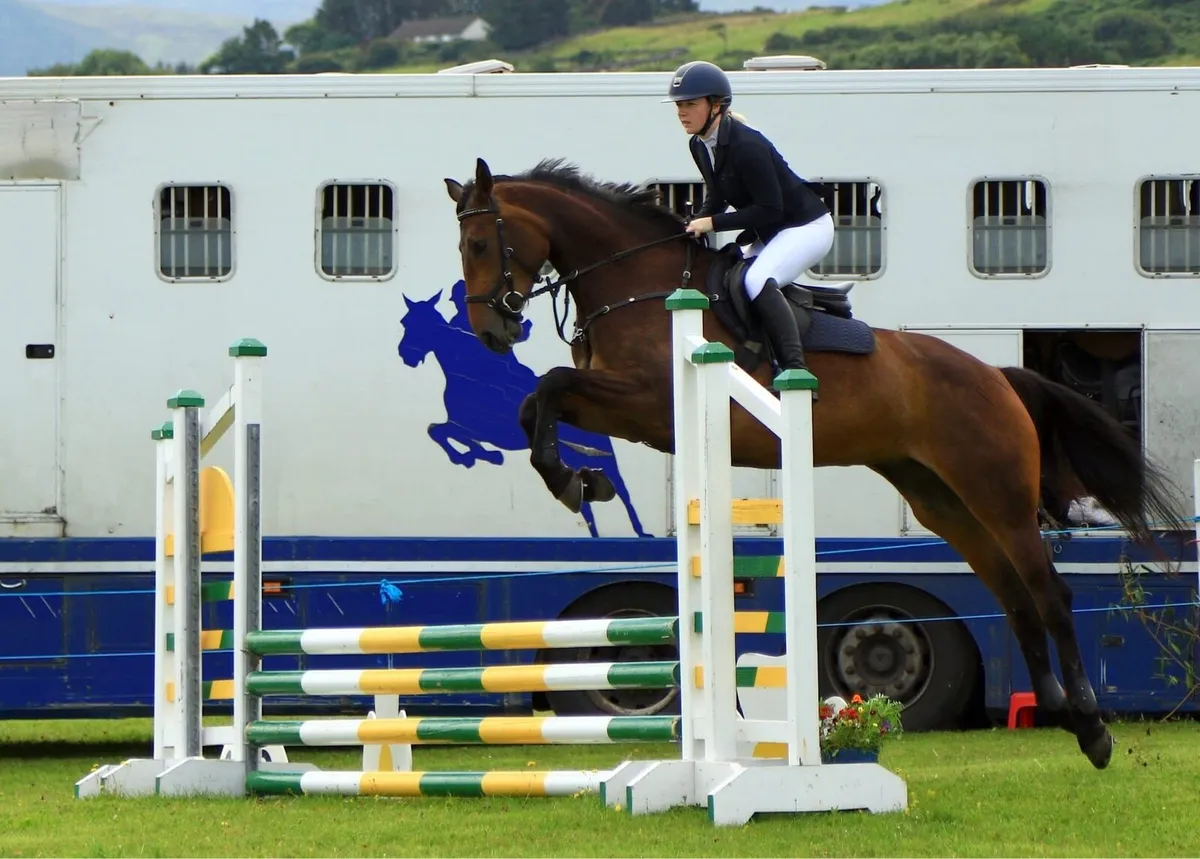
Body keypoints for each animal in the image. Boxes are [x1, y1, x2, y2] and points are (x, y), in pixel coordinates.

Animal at [399, 279, 650, 538]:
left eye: (418, 323)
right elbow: (438, 430)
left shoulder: (481, 428)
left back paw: (640, 531)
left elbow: (447, 432)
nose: (406, 355)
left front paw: (479, 456)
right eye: (405, 322)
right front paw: (475, 456)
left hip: (602, 454)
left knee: (622, 491)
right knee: (585, 504)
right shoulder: (467, 426)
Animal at [443, 155, 1187, 770]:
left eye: (480, 244)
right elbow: (538, 401)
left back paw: (1094, 729)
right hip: (943, 500)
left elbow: (549, 386)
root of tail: (998, 376)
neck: (637, 281)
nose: (492, 330)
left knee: (1049, 593)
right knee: (1013, 598)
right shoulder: (626, 409)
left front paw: (574, 482)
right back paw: (1062, 716)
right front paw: (580, 480)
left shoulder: (649, 402)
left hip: (996, 493)